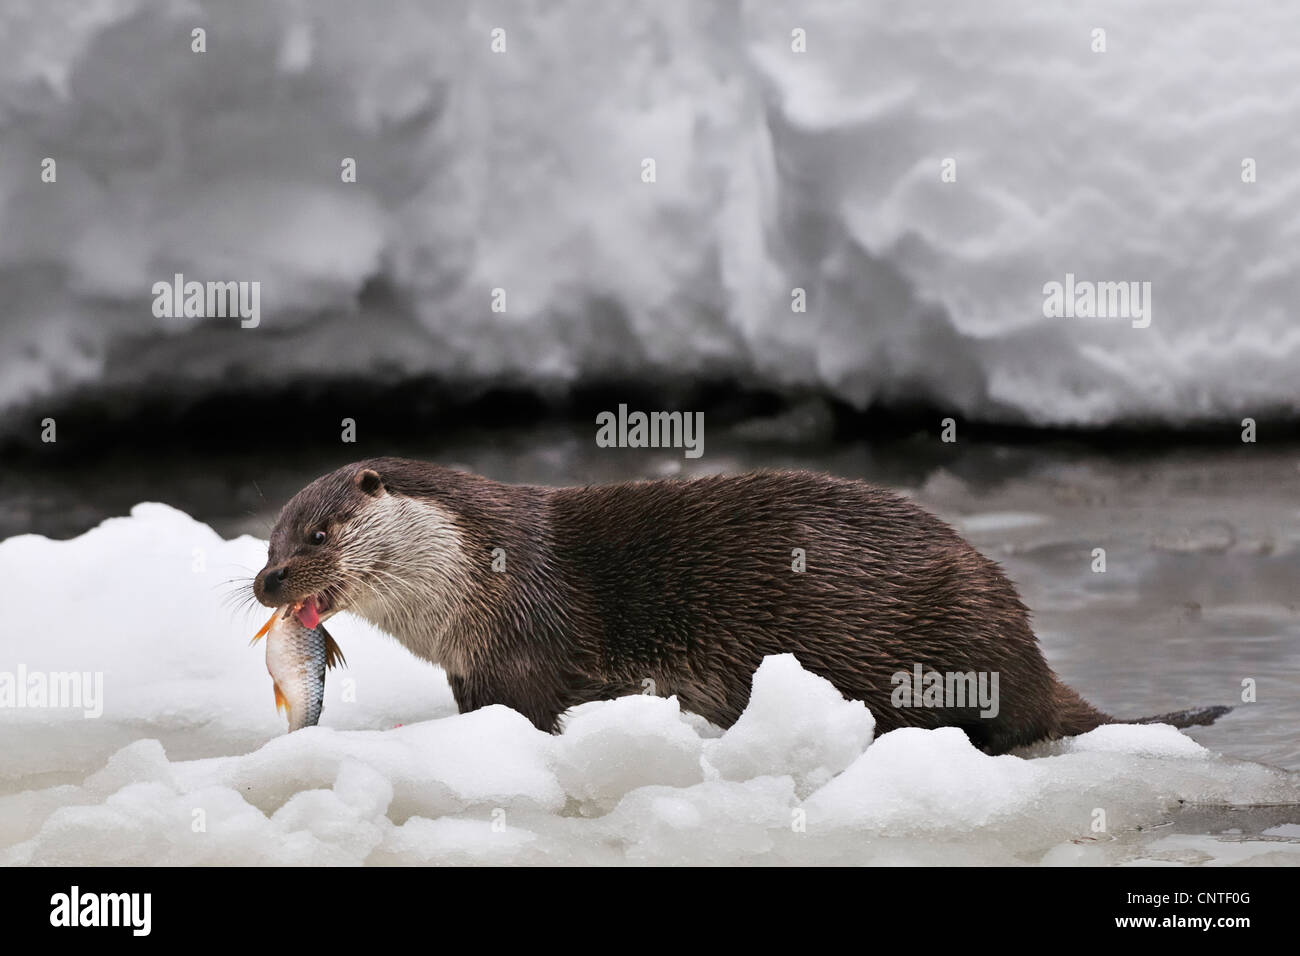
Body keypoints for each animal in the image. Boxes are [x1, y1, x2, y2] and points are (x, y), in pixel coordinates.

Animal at [250, 463, 1227, 754]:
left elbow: (526, 710)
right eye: (270, 537)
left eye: (320, 534)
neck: (478, 569)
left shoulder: (526, 638)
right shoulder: (471, 658)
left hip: (953, 633)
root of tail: (1029, 650)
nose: (266, 585)